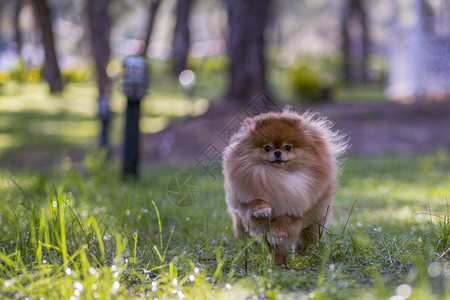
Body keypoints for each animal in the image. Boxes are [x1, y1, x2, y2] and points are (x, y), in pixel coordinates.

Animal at [222, 109, 348, 264]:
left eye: (288, 147)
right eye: (267, 147)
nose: (277, 152)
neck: (278, 177)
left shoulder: (303, 207)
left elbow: (287, 220)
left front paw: (277, 233)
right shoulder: (245, 200)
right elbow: (254, 201)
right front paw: (262, 209)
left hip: (315, 223)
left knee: (305, 241)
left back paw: (302, 255)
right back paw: (278, 261)